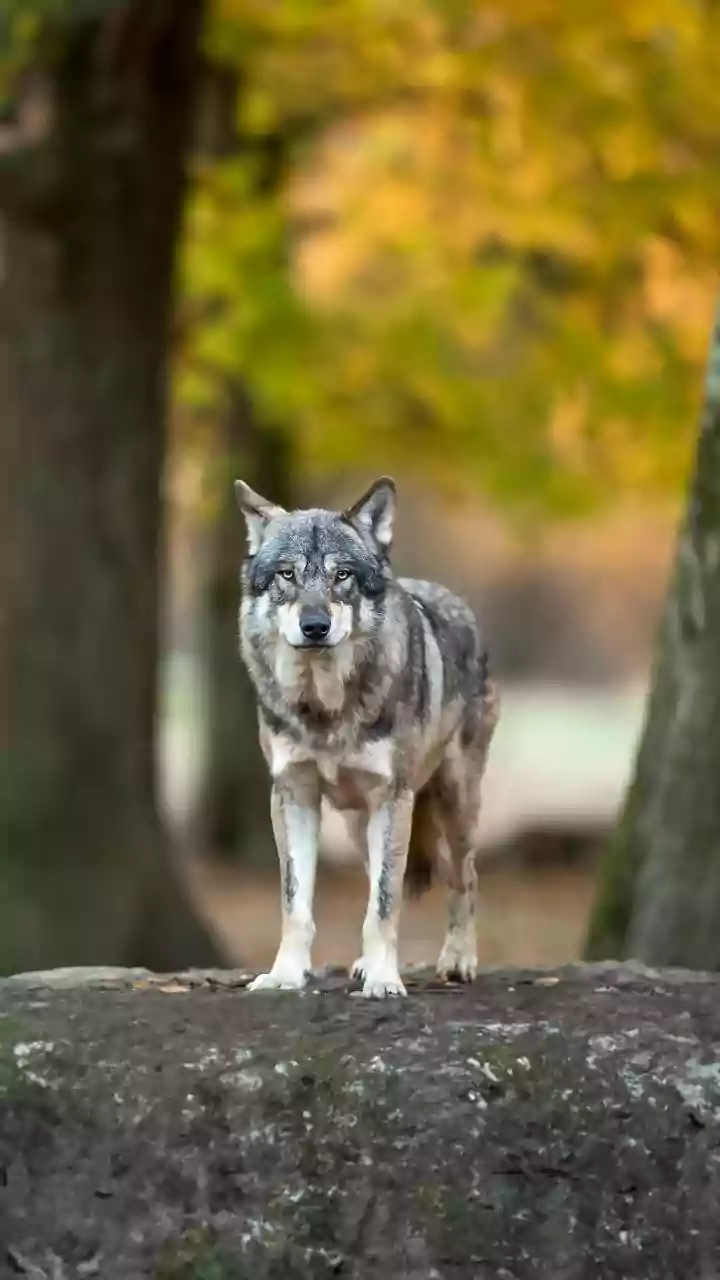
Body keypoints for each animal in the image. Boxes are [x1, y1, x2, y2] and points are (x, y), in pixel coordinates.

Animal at [235, 475, 499, 998]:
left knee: (465, 877)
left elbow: (384, 903)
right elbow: (296, 904)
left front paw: (383, 979)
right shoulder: (293, 795)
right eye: (287, 575)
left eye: (342, 575)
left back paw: (458, 960)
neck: (325, 709)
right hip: (361, 824)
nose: (315, 626)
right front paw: (285, 975)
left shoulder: (392, 799)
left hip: (454, 803)